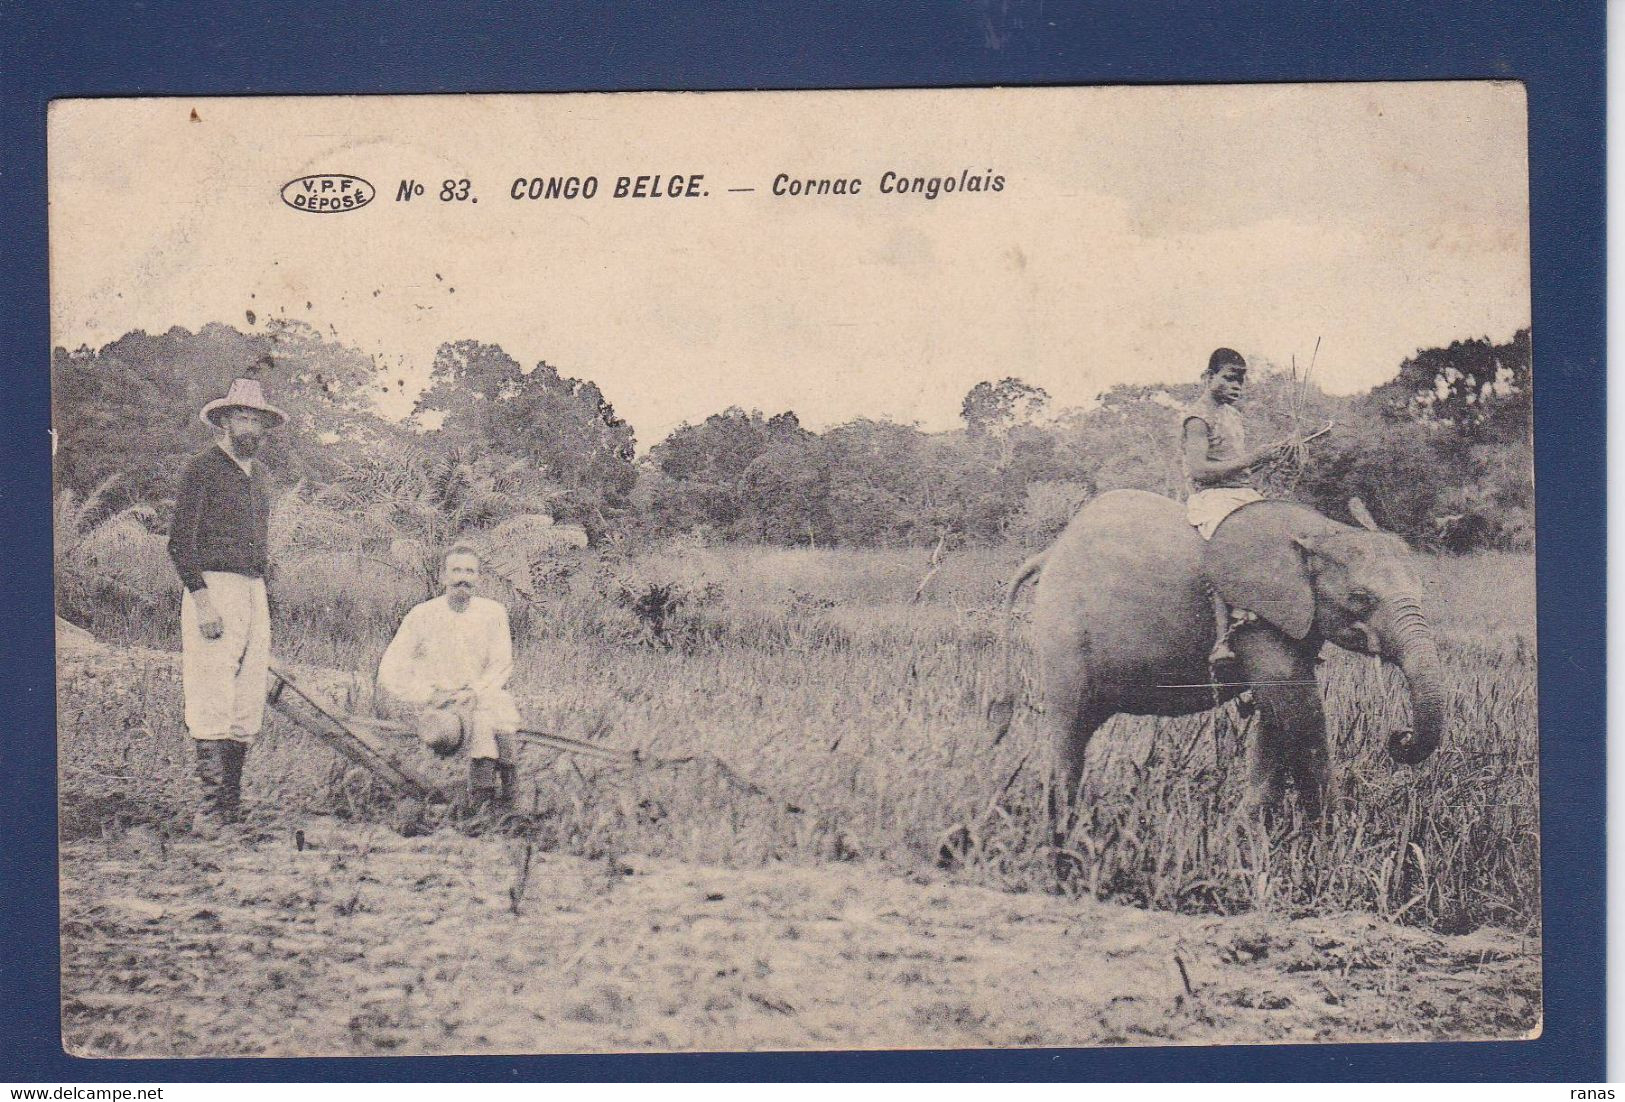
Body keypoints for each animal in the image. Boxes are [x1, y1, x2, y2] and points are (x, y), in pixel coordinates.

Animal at [988, 487, 1449, 825]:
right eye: (1360, 598)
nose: (1399, 737)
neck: (1320, 529)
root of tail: (1049, 552)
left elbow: (1277, 714)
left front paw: (1245, 831)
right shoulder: (1254, 611)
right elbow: (1299, 708)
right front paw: (1331, 838)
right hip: (1063, 635)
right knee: (1069, 728)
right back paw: (1060, 833)